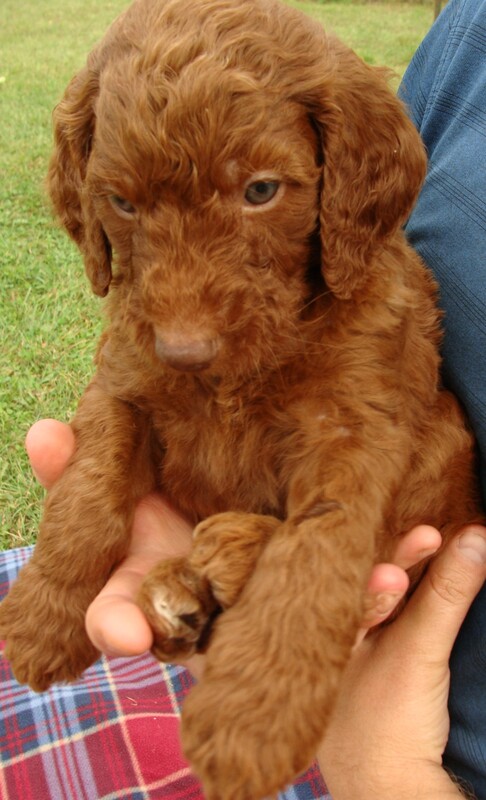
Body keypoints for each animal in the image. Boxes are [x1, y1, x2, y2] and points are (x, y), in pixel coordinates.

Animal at [0, 0, 482, 796]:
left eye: (260, 191)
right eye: (121, 203)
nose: (184, 349)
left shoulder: (356, 428)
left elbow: (315, 555)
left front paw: (256, 715)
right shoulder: (124, 378)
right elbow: (86, 490)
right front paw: (45, 614)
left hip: (445, 443)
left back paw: (227, 553)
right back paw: (184, 596)